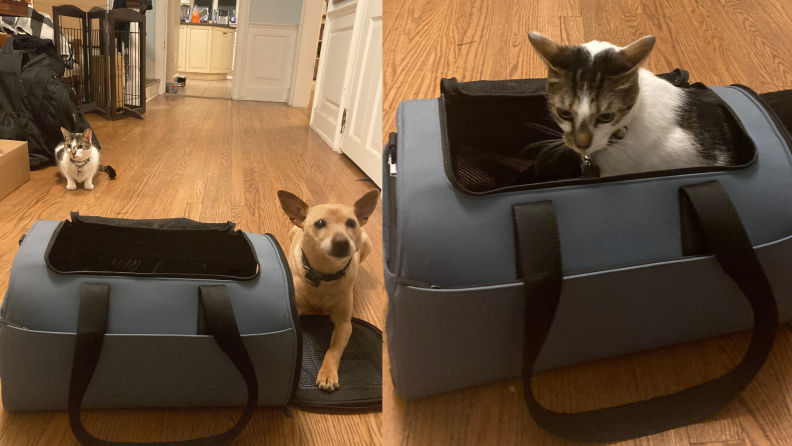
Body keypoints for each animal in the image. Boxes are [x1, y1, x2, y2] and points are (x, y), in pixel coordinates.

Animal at [276, 190, 378, 392]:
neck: (325, 274)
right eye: (320, 223)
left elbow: (334, 351)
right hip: (292, 232)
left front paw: (328, 374)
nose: (342, 242)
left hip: (366, 244)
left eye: (351, 223)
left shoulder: (345, 325)